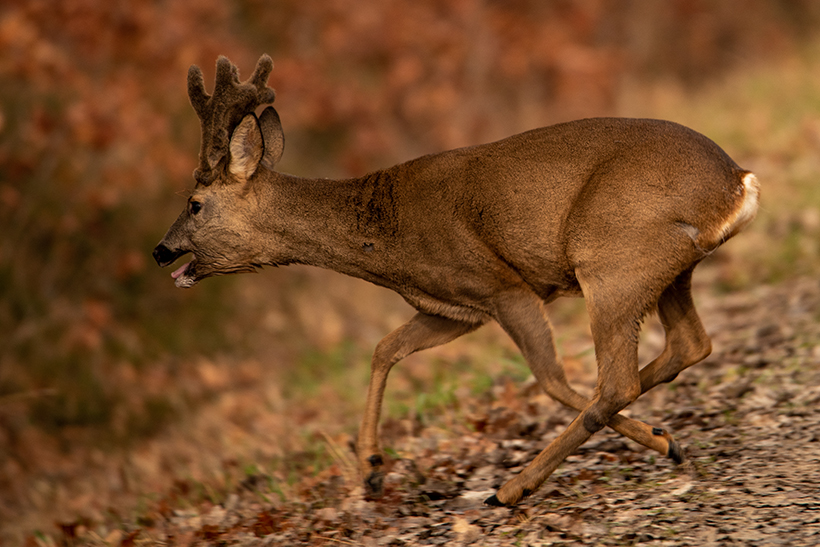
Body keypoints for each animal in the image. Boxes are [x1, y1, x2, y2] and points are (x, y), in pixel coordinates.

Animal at [151, 54, 760, 506]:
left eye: (195, 203)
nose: (160, 251)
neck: (385, 236)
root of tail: (737, 181)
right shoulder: (454, 308)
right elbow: (385, 348)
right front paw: (370, 468)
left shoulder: (500, 286)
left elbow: (551, 379)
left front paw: (659, 439)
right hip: (666, 271)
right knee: (688, 344)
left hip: (612, 258)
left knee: (615, 383)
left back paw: (514, 488)